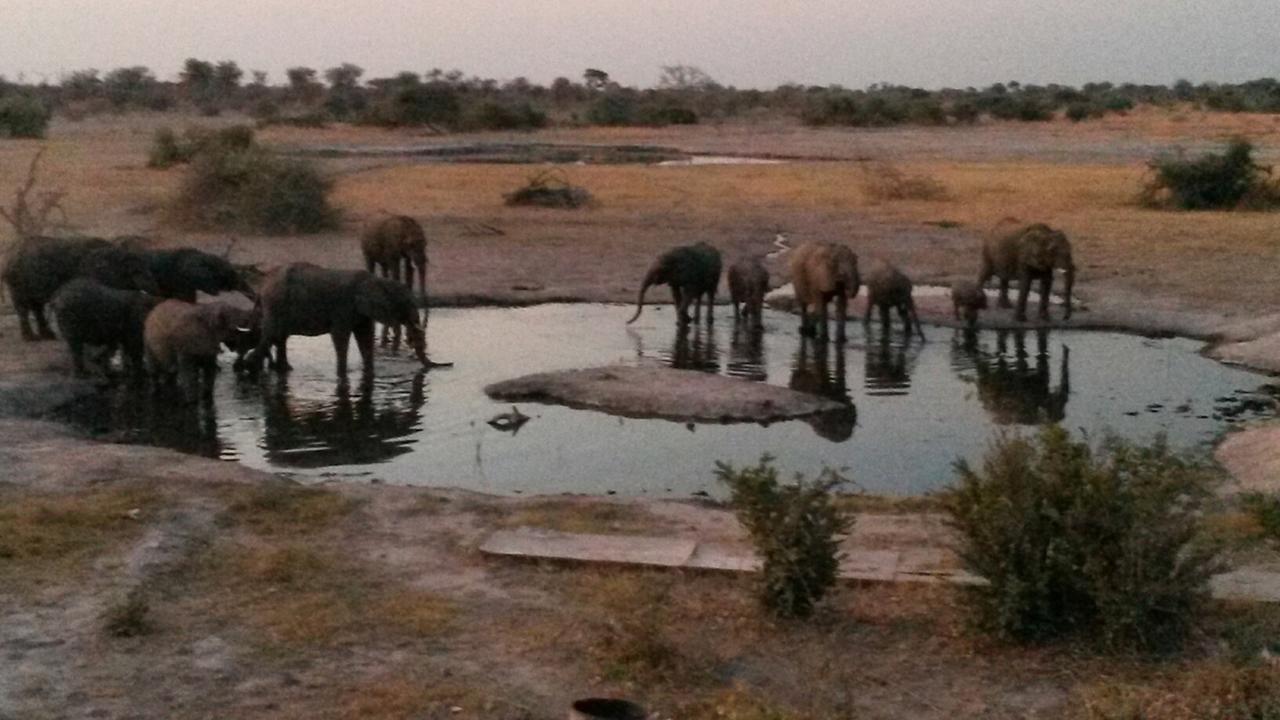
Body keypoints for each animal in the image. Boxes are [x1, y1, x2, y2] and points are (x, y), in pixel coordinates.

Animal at [2, 233, 158, 338]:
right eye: (136, 271)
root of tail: (9, 254)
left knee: (37, 307)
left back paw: (48, 336)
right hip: (16, 280)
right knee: (23, 306)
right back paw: (31, 338)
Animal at [243, 260, 440, 379]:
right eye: (406, 304)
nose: (443, 365)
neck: (376, 280)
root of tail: (263, 285)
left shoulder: (361, 311)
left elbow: (365, 336)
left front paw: (369, 374)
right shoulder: (343, 306)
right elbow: (340, 336)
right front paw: (342, 375)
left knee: (278, 337)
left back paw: (282, 370)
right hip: (276, 304)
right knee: (272, 335)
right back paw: (248, 368)